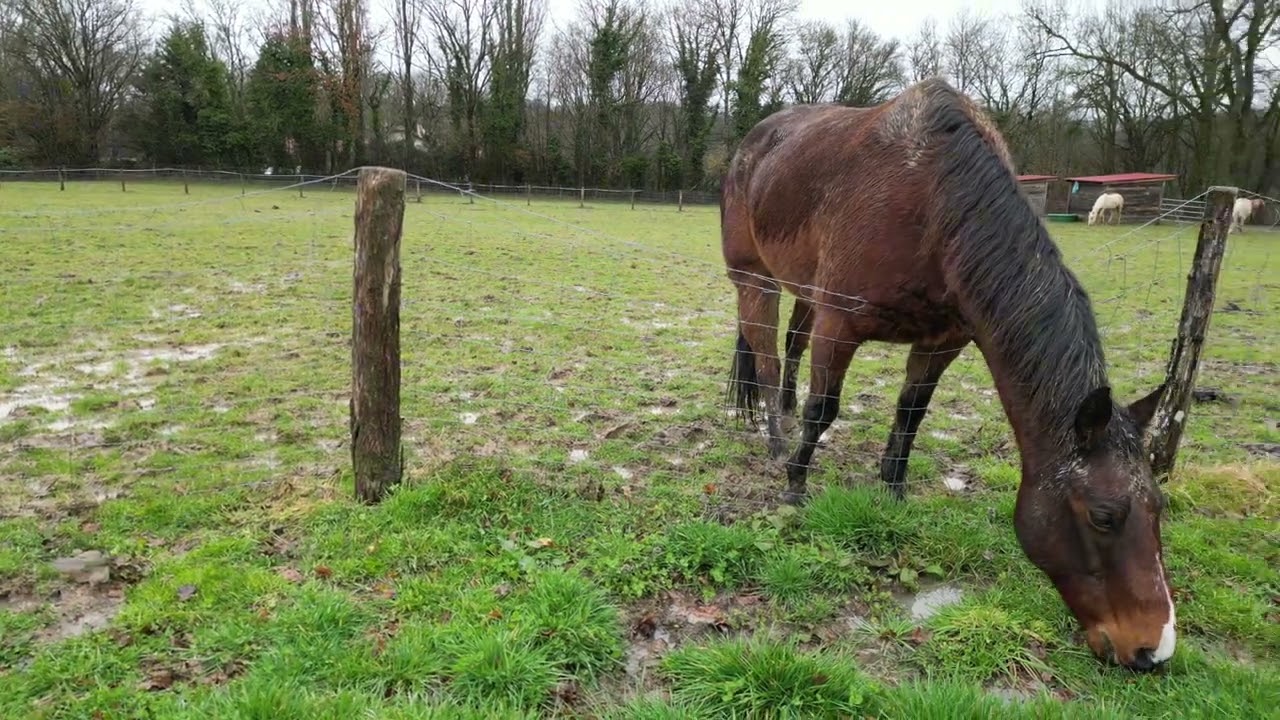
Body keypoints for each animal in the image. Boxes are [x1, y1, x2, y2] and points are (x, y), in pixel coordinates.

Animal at [720, 78, 1174, 672]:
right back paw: (777, 438)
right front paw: (796, 484)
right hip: (755, 279)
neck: (935, 204)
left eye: (1159, 508)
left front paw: (892, 489)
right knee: (768, 359)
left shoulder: (942, 342)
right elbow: (825, 410)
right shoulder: (840, 325)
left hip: (802, 288)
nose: (1153, 648)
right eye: (1104, 516)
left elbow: (911, 415)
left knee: (791, 349)